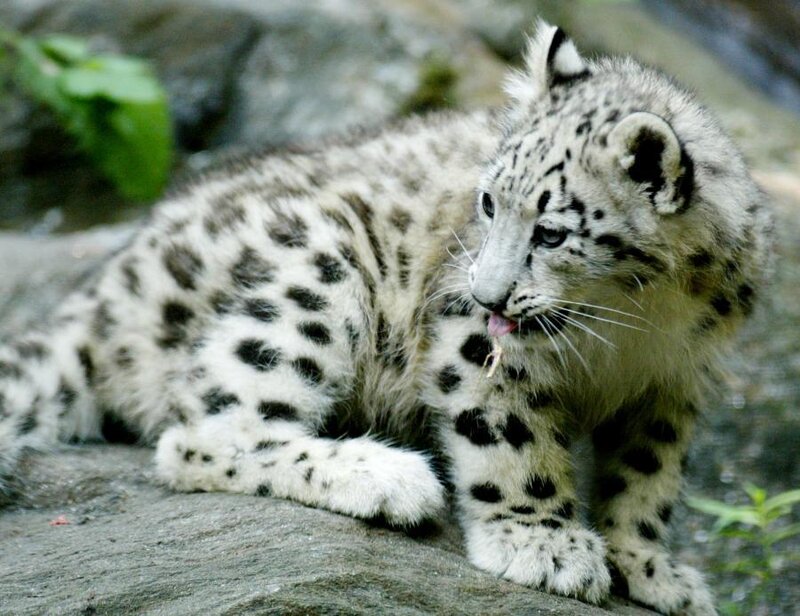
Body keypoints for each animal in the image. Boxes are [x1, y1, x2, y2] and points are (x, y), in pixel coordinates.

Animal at [0, 22, 773, 615]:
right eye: (488, 203)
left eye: (552, 232)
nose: (490, 295)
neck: (637, 320)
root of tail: (105, 291)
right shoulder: (473, 342)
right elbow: (510, 438)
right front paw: (543, 543)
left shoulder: (675, 383)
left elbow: (649, 475)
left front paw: (651, 567)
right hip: (315, 275)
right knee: (202, 435)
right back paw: (384, 476)